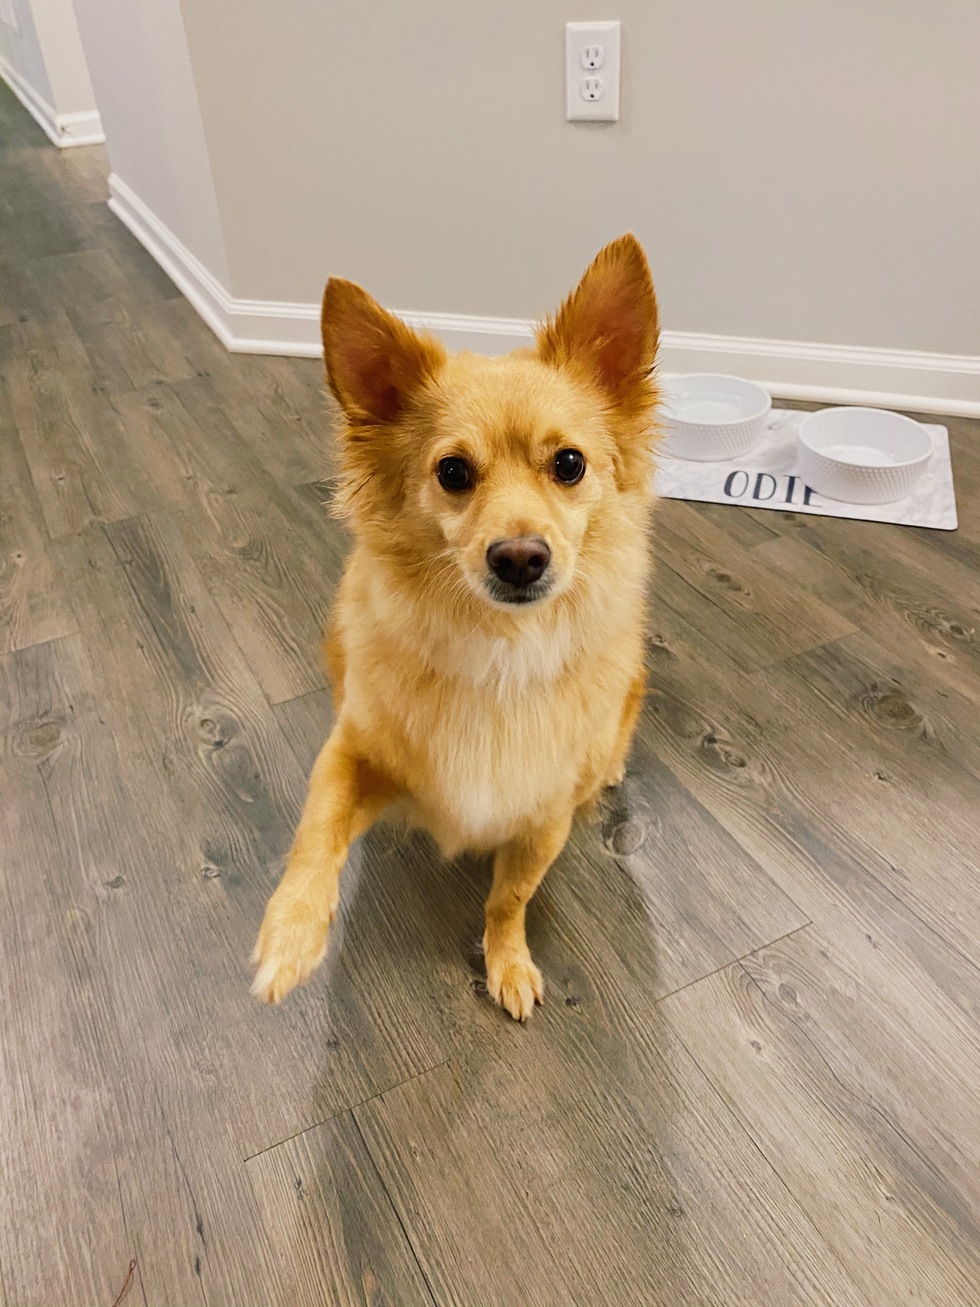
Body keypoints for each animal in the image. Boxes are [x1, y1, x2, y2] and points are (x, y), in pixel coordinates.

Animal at [252, 234, 660, 1021]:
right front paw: (290, 936)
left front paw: (507, 960)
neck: (500, 650)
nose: (521, 557)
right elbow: (315, 833)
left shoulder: (542, 817)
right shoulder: (352, 752)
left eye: (569, 464)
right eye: (452, 473)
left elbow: (510, 897)